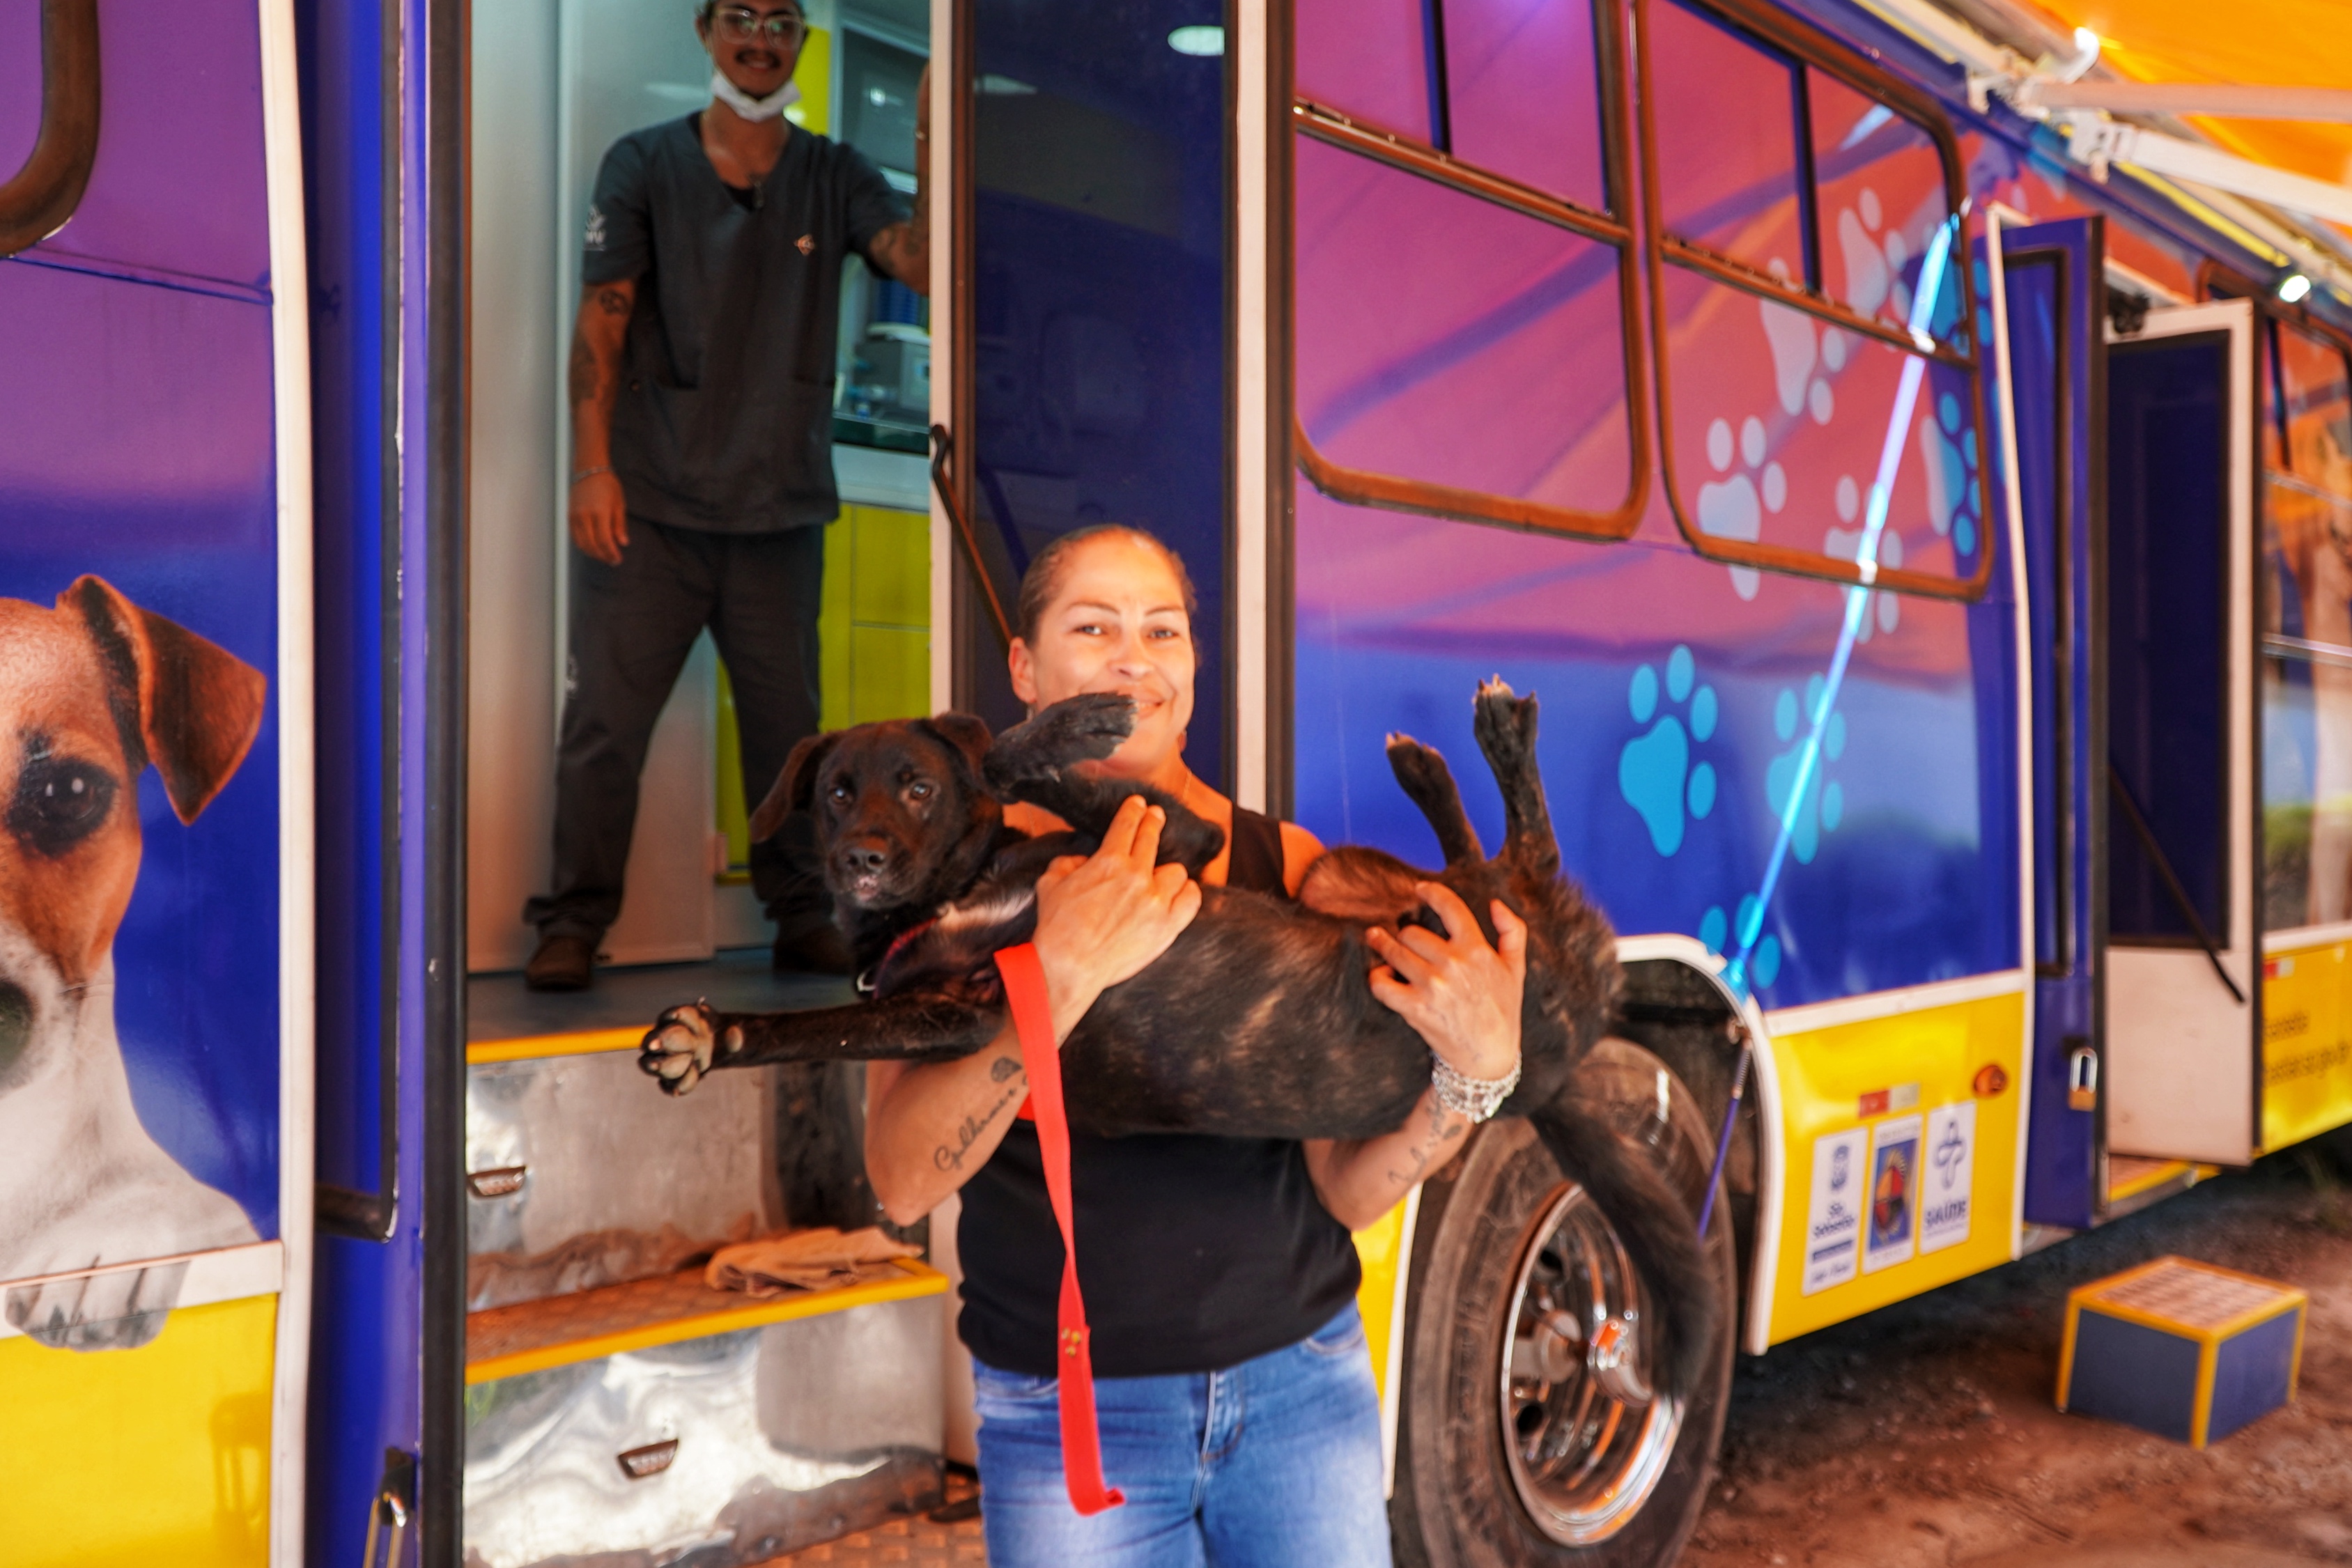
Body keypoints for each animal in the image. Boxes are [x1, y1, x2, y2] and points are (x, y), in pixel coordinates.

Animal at [641, 681, 1720, 1394]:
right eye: (833, 791)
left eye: (912, 787)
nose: (861, 859)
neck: (949, 894)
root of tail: (1559, 1064)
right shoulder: (959, 1014)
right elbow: (817, 1028)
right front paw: (715, 1034)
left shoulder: (1171, 843)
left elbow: (1007, 757)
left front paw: (1073, 723)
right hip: (1393, 897)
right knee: (1493, 866)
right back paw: (1446, 762)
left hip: (1450, 920)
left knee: (1513, 859)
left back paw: (1477, 745)